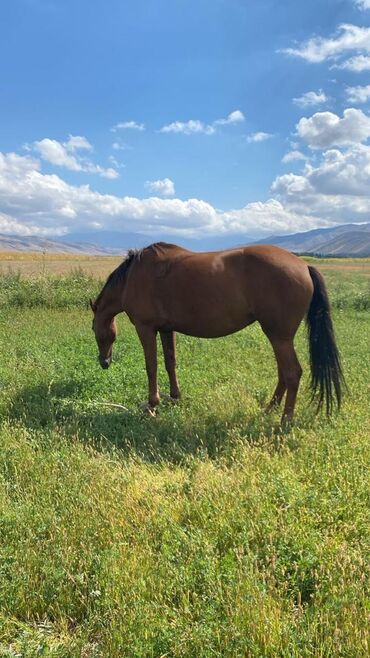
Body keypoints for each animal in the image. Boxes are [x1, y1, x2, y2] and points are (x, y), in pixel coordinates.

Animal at [90, 241, 344, 420]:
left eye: (94, 329)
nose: (104, 362)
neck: (132, 277)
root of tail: (303, 266)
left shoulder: (146, 328)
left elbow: (151, 367)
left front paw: (152, 405)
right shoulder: (166, 329)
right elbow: (170, 362)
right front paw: (175, 397)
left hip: (279, 336)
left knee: (292, 373)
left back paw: (285, 420)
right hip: (279, 338)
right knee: (284, 373)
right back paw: (270, 409)